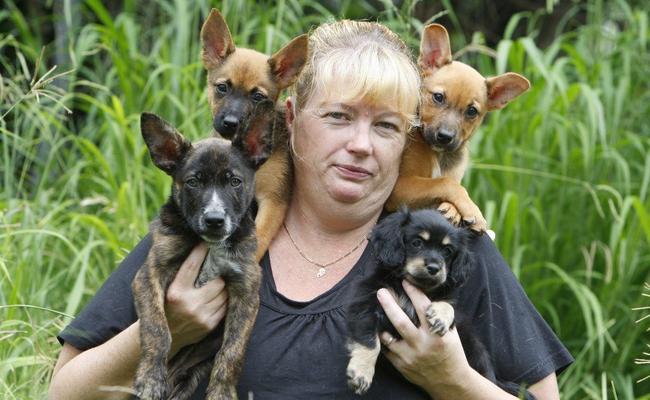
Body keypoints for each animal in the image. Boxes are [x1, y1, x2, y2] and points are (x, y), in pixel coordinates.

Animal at [133, 105, 272, 396]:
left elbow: (232, 352)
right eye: (193, 182)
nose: (214, 220)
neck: (210, 244)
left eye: (234, 181)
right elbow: (156, 328)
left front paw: (222, 393)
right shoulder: (150, 273)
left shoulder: (246, 288)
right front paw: (150, 377)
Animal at [344, 208, 532, 398]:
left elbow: (449, 305)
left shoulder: (453, 310)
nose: (434, 268)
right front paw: (361, 373)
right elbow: (369, 341)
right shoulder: (366, 303)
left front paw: (440, 317)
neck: (416, 287)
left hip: (477, 353)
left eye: (448, 250)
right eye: (417, 243)